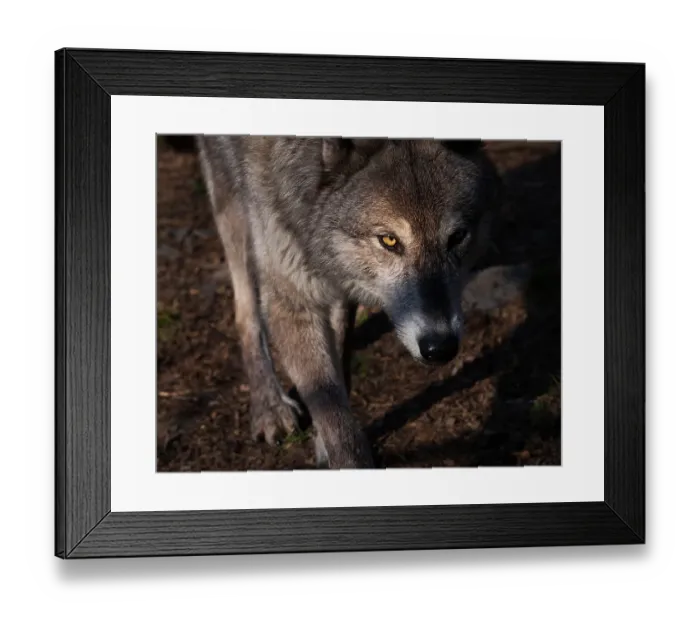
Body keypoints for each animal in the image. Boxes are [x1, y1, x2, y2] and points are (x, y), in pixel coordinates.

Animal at [196, 136, 501, 469]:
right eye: (389, 240)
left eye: (457, 237)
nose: (440, 347)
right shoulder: (291, 296)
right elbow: (331, 411)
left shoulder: (340, 279)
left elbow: (338, 359)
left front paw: (323, 443)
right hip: (232, 203)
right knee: (244, 310)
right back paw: (269, 407)